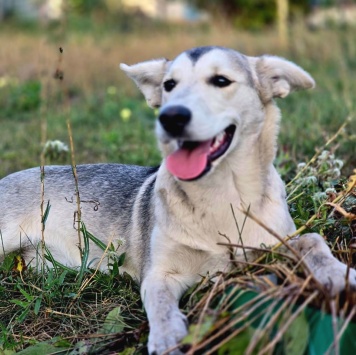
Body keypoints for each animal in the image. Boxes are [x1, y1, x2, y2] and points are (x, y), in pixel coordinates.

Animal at [0, 46, 356, 354]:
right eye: (169, 85)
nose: (170, 118)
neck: (219, 196)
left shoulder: (274, 241)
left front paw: (338, 274)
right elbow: (159, 302)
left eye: (221, 80)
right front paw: (167, 335)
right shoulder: (159, 273)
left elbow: (311, 241)